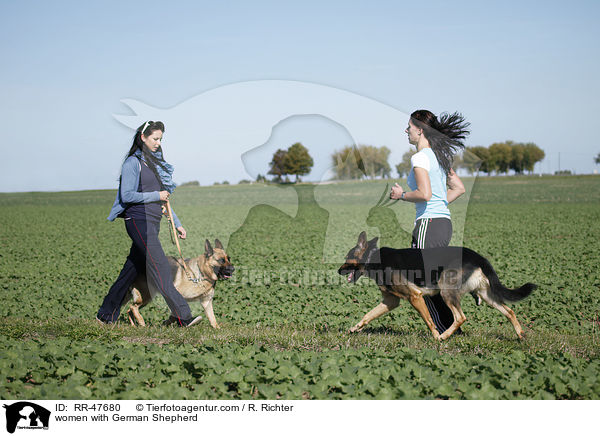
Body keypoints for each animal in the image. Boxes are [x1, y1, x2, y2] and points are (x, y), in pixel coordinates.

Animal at [336, 232, 536, 340]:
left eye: (347, 258)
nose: (338, 271)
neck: (372, 259)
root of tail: (479, 257)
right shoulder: (390, 302)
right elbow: (367, 316)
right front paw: (354, 328)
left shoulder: (415, 297)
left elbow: (429, 321)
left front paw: (435, 337)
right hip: (486, 295)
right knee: (510, 311)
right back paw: (520, 335)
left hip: (446, 291)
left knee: (460, 317)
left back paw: (444, 336)